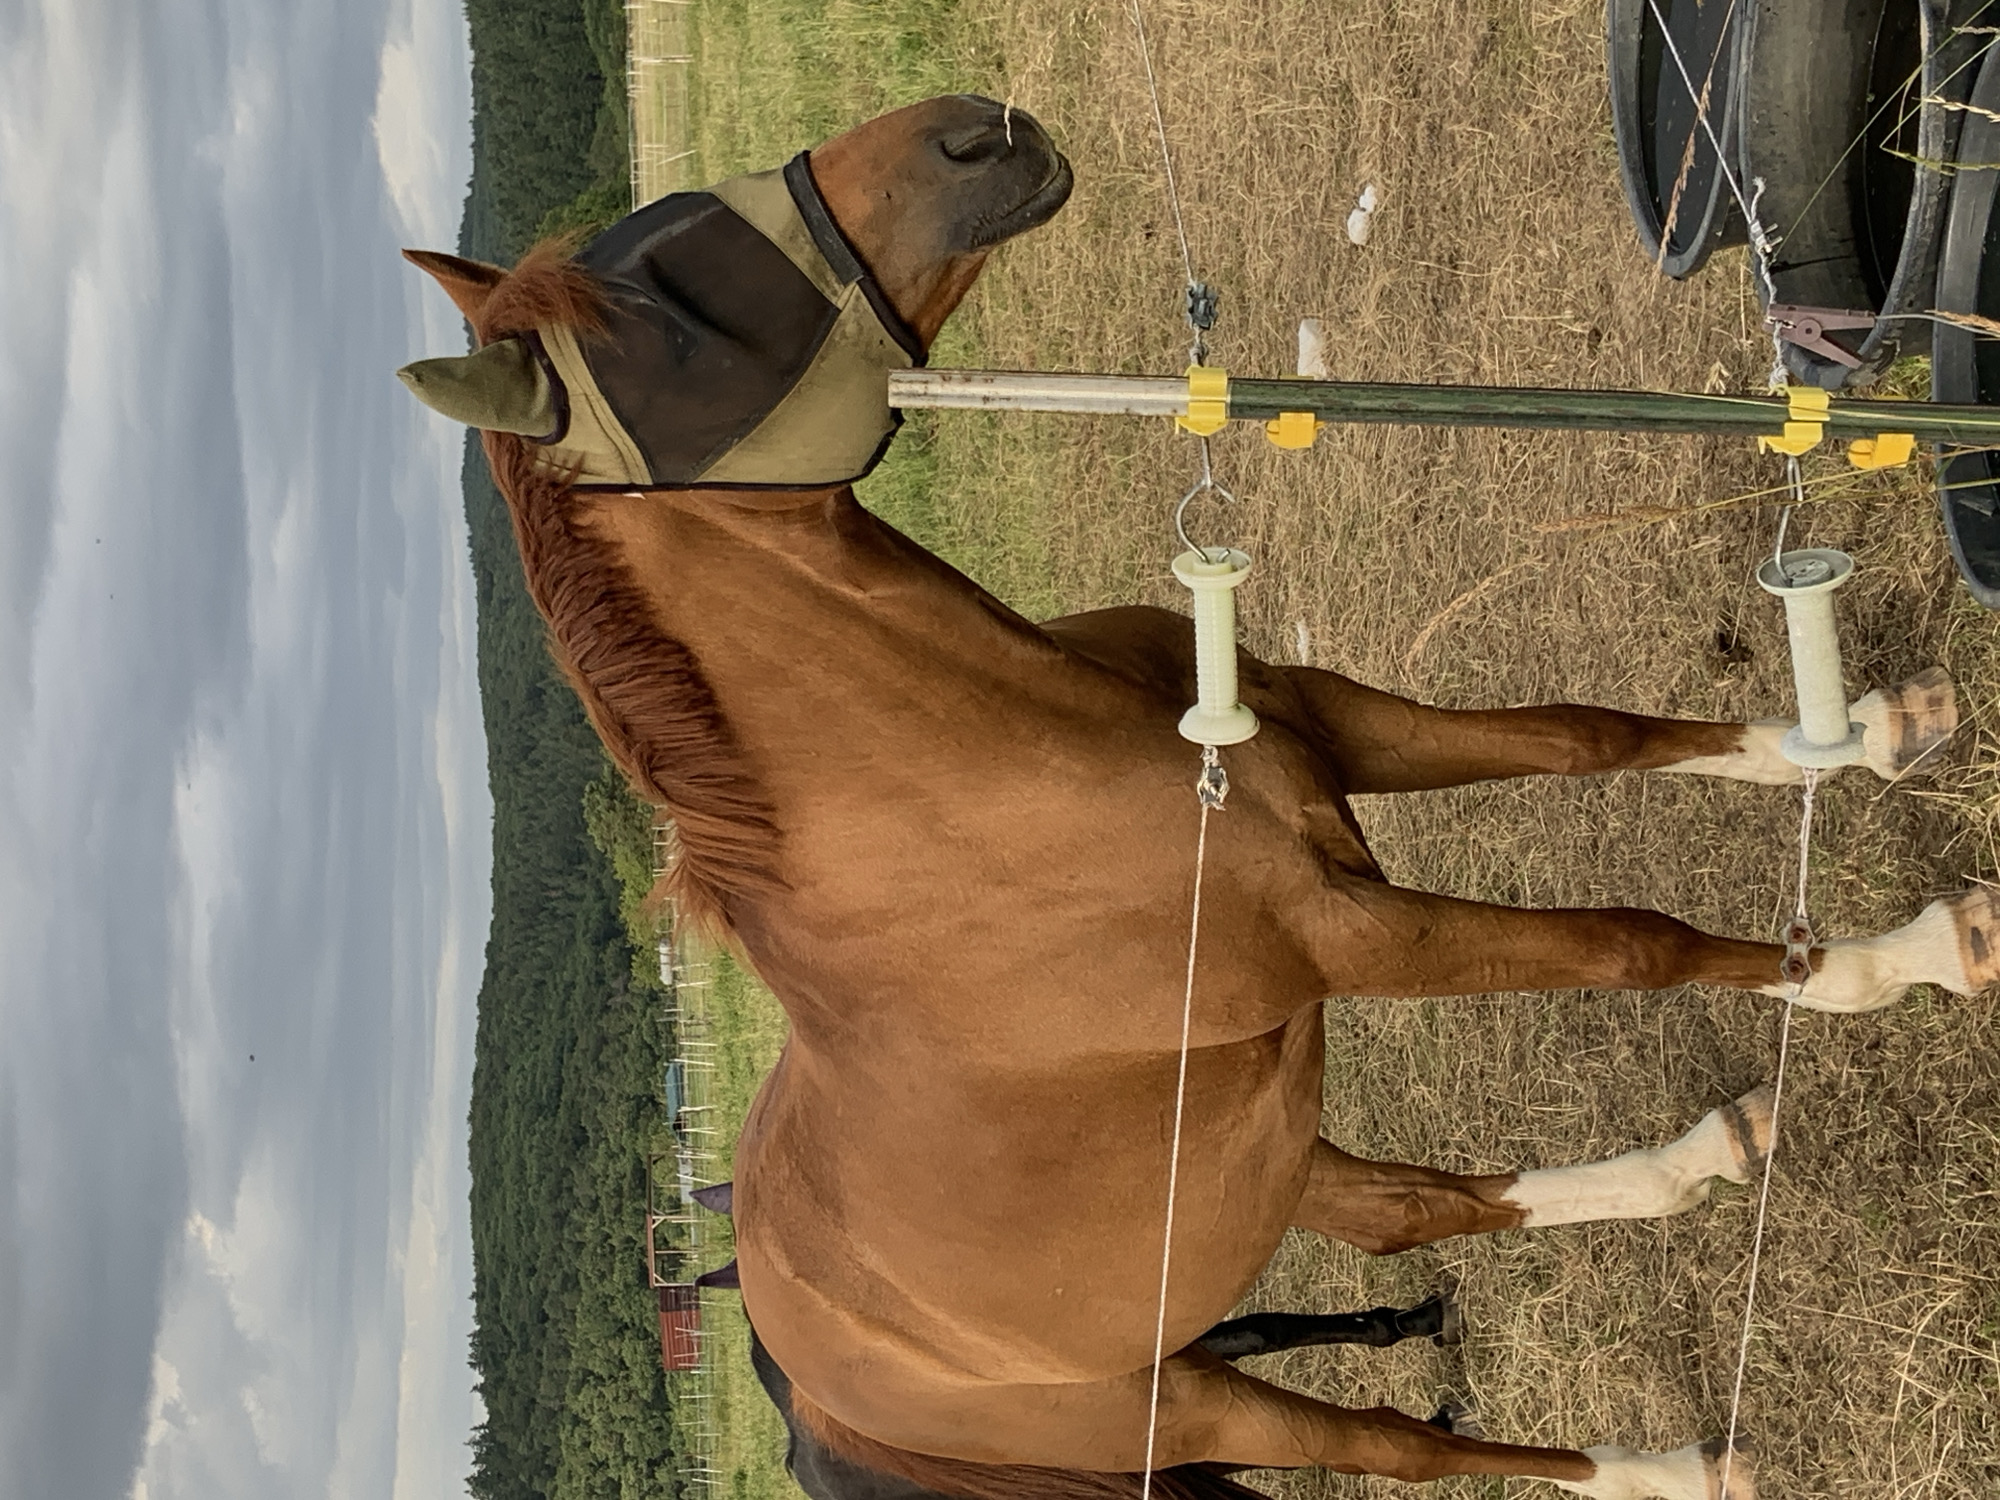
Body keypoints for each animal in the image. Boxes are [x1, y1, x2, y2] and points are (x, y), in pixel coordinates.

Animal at [400, 94, 1995, 1499]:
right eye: (682, 311)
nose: (974, 130)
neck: (985, 788)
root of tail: (812, 1381)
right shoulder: (1357, 940)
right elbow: (1632, 943)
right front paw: (1901, 959)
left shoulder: (1338, 735)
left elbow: (1588, 736)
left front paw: (1871, 735)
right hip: (1191, 1396)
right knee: (1400, 1445)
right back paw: (1671, 1462)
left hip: (1271, 1156)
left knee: (1412, 1213)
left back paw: (1692, 1166)